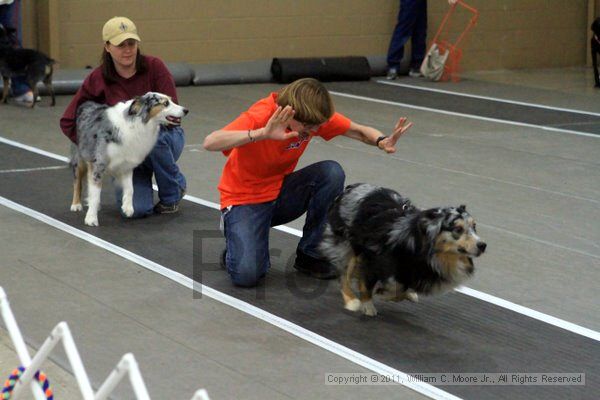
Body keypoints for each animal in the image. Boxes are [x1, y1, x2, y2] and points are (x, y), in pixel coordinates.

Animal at [71, 92, 188, 227]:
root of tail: (86, 104)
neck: (138, 123)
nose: (186, 110)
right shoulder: (98, 164)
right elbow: (95, 194)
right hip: (81, 158)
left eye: (171, 100)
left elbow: (130, 188)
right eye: (165, 103)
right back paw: (76, 204)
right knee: (77, 181)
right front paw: (91, 218)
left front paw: (128, 208)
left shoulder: (126, 163)